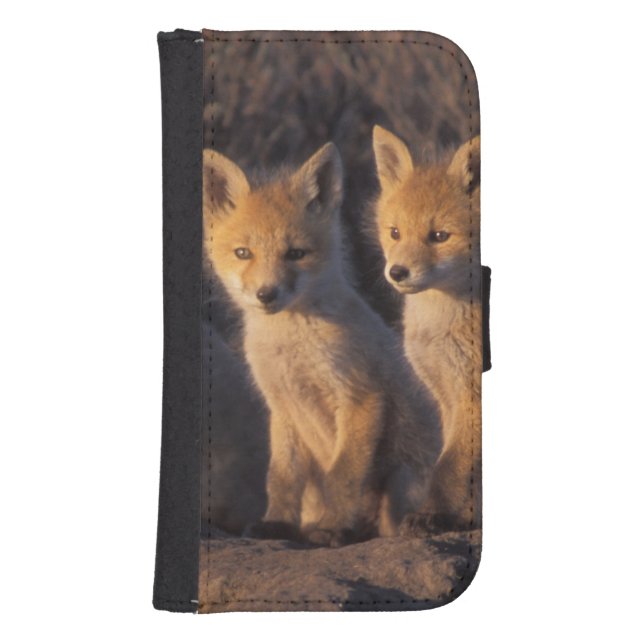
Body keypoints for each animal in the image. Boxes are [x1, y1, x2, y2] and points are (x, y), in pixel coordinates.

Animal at [202, 142, 442, 546]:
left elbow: (342, 476)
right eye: (243, 253)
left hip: (402, 479)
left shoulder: (360, 396)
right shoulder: (282, 406)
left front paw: (332, 528)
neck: (293, 350)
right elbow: (281, 478)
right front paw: (277, 524)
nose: (267, 294)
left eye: (296, 254)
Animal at [372, 125, 482, 534]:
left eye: (439, 236)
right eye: (395, 232)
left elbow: (448, 470)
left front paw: (432, 514)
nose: (397, 272)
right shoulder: (445, 395)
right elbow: (455, 469)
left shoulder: (470, 397)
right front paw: (460, 518)